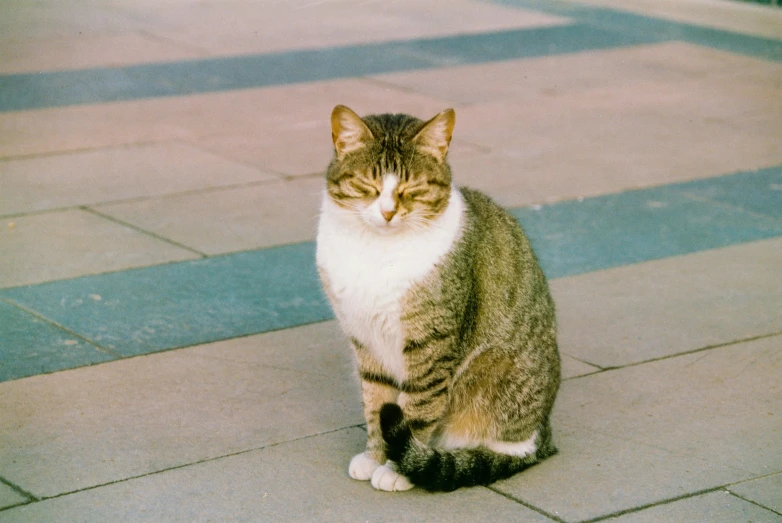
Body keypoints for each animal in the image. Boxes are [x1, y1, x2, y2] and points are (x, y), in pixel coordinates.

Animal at [316, 105, 560, 492]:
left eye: (412, 188)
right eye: (368, 186)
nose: (388, 212)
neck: (377, 252)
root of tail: (544, 435)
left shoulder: (430, 343)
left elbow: (417, 408)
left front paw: (397, 468)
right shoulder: (365, 340)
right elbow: (375, 404)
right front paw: (374, 457)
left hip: (494, 374)